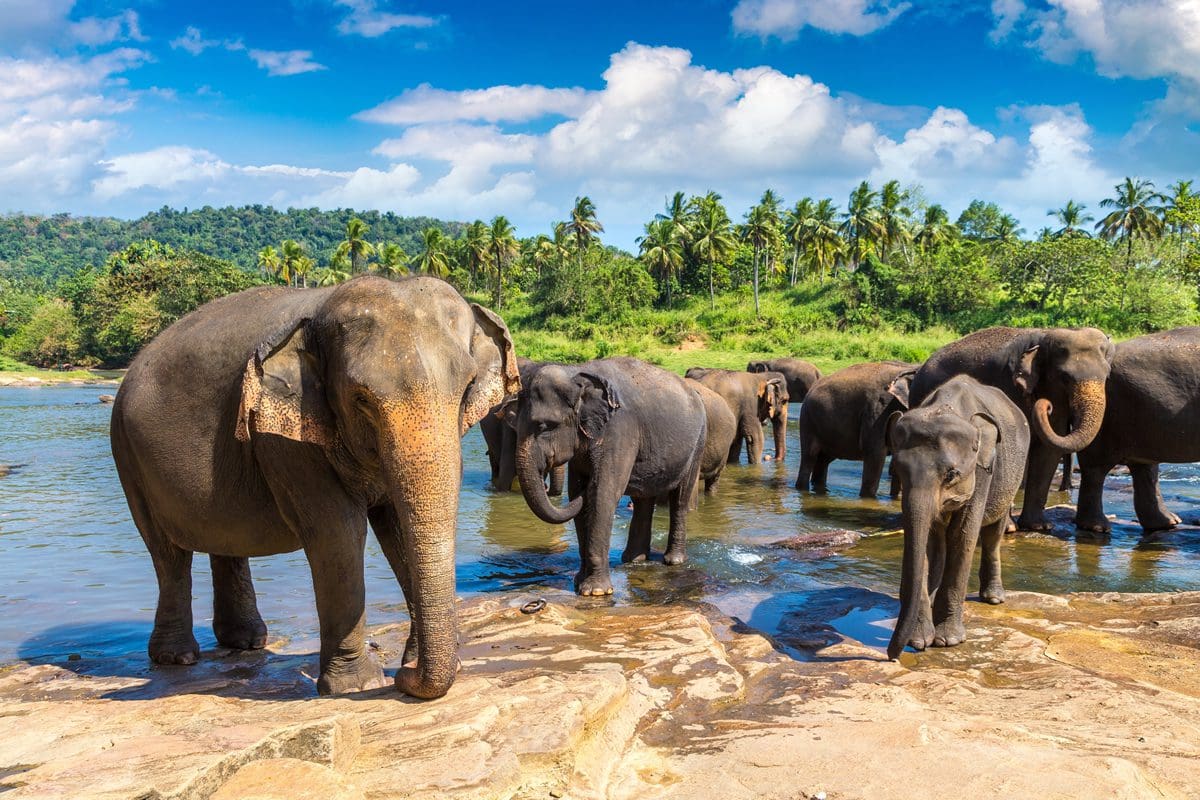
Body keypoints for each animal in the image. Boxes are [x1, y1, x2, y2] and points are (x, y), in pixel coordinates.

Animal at [109, 276, 518, 700]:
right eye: (361, 398)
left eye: (467, 387)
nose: (403, 679)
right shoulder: (286, 437)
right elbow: (337, 533)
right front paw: (358, 685)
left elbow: (397, 531)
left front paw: (411, 665)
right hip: (127, 454)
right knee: (167, 554)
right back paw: (178, 657)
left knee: (224, 541)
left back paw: (246, 642)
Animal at [514, 357, 707, 596]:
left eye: (545, 426)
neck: (576, 373)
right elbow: (578, 494)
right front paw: (579, 583)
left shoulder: (618, 429)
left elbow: (602, 494)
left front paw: (595, 591)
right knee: (644, 501)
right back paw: (634, 560)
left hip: (698, 441)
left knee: (680, 499)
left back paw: (673, 561)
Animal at [795, 361, 917, 497]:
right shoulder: (877, 411)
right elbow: (875, 453)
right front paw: (868, 499)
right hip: (808, 420)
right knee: (809, 458)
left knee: (823, 460)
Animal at [886, 375, 1030, 659]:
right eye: (897, 469)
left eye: (952, 474)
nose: (891, 655)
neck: (948, 407)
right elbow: (926, 540)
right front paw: (919, 640)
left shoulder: (982, 470)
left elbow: (963, 535)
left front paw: (948, 640)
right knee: (939, 542)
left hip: (1010, 476)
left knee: (993, 534)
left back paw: (994, 598)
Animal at [909, 327, 1114, 531]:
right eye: (1065, 378)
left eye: (1107, 376)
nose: (1045, 405)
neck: (1044, 336)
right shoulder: (1008, 384)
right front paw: (1009, 528)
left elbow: (1049, 451)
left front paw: (1039, 527)